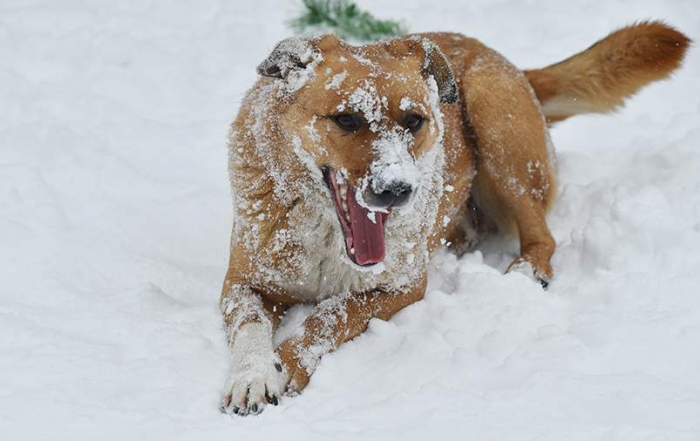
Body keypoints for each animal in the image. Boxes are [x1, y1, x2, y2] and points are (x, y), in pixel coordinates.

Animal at [219, 20, 688, 414]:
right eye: (346, 119)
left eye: (414, 120)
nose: (397, 191)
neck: (328, 235)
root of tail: (514, 66)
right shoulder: (242, 283)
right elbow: (249, 325)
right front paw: (253, 375)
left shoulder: (402, 284)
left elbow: (327, 316)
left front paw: (285, 364)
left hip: (493, 116)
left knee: (542, 234)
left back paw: (526, 269)